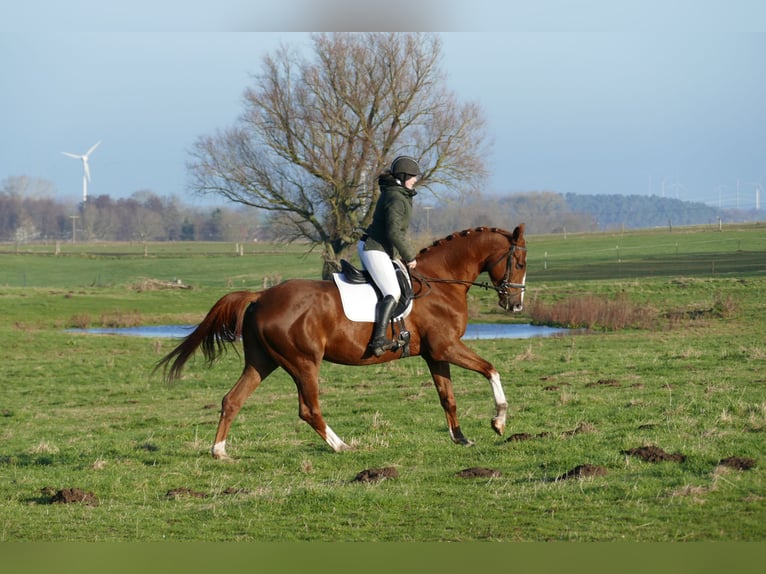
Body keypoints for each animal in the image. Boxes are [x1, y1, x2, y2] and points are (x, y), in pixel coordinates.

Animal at [156, 224, 527, 460]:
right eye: (520, 262)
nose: (516, 306)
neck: (440, 281)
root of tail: (261, 296)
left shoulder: (435, 354)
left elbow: (447, 398)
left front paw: (461, 438)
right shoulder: (446, 347)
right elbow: (491, 370)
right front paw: (499, 421)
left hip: (262, 361)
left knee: (232, 400)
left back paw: (219, 452)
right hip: (303, 363)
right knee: (308, 409)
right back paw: (342, 446)